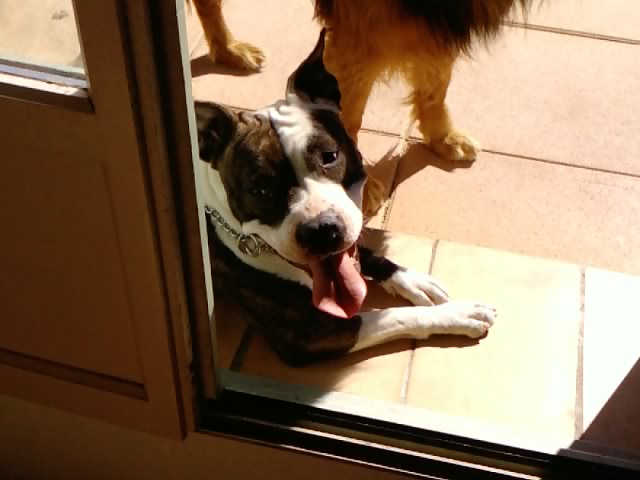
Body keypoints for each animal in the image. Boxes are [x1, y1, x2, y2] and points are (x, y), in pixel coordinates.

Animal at [195, 29, 495, 367]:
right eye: (258, 190)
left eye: (330, 156)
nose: (321, 229)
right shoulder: (311, 334)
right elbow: (397, 316)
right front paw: (458, 314)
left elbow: (366, 252)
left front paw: (414, 280)